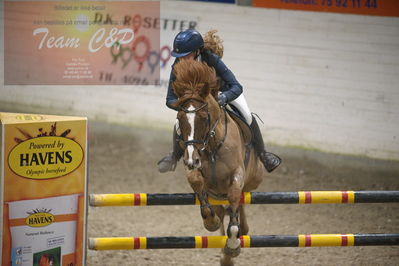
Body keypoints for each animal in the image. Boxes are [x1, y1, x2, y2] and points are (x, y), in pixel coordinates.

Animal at [172, 60, 266, 266]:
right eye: (180, 119)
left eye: (203, 118)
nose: (191, 159)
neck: (213, 145)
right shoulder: (195, 171)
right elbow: (197, 183)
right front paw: (211, 222)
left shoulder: (237, 174)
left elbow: (234, 197)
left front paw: (233, 244)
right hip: (215, 192)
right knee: (222, 210)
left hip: (253, 179)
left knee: (239, 206)